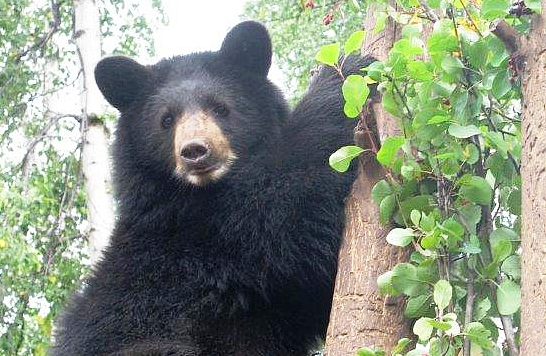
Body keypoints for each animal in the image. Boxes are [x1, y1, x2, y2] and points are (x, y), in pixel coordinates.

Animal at [51, 20, 372, 354]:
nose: (194, 151)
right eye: (166, 119)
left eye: (220, 108)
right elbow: (292, 203)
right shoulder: (210, 233)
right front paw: (345, 72)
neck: (201, 191)